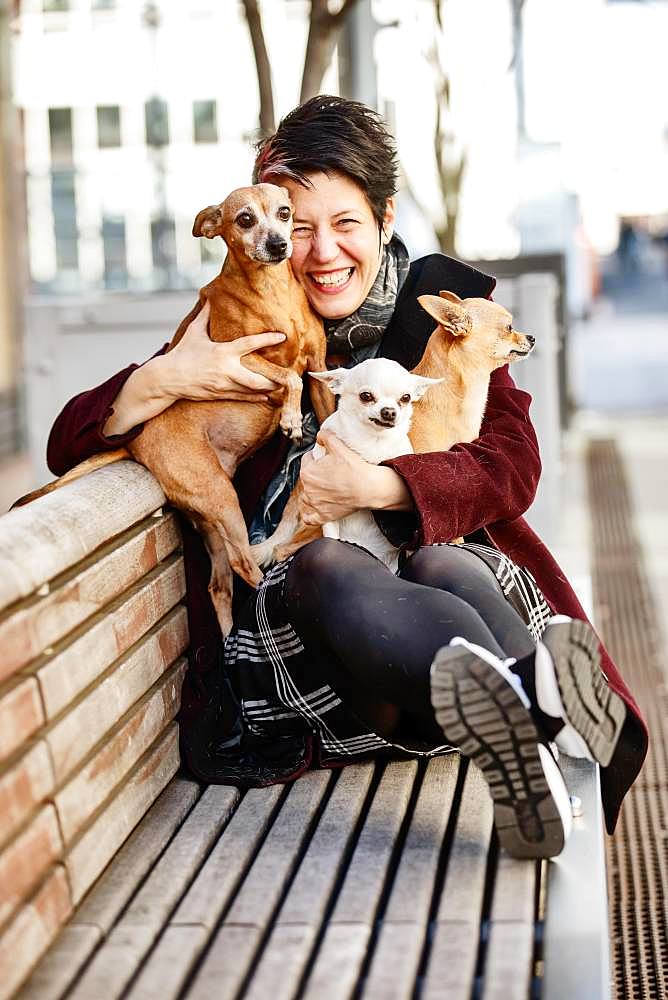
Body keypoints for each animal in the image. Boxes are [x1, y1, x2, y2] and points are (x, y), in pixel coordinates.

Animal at [20, 185, 332, 636]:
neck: (271, 292)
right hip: (221, 498)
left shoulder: (320, 368)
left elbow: (321, 399)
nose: (278, 245)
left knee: (219, 584)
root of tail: (135, 444)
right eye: (245, 219)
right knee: (245, 563)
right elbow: (288, 378)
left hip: (211, 517)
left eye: (285, 213)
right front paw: (291, 418)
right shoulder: (238, 359)